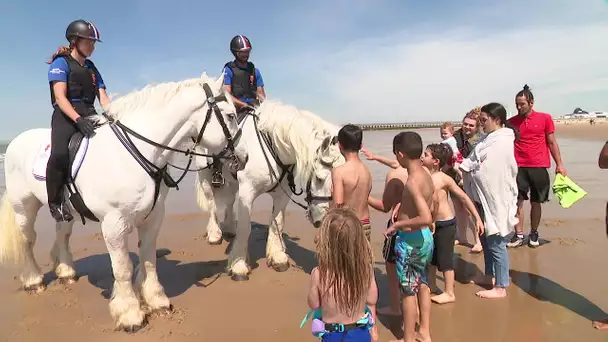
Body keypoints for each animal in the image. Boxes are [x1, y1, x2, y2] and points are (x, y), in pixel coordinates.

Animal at [0, 72, 242, 332]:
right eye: (230, 115)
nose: (244, 157)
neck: (134, 153)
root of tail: (15, 141)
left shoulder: (153, 217)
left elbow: (149, 260)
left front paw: (156, 301)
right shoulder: (113, 223)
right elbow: (123, 268)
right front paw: (130, 314)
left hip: (65, 211)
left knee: (62, 234)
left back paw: (66, 271)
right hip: (24, 207)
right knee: (27, 240)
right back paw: (33, 280)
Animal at [196, 99, 344, 280]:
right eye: (319, 178)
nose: (321, 221)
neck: (272, 147)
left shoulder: (282, 195)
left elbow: (277, 223)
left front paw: (278, 257)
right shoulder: (247, 193)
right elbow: (245, 228)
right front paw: (238, 265)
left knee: (229, 201)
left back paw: (230, 228)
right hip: (204, 174)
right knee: (211, 203)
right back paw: (214, 234)